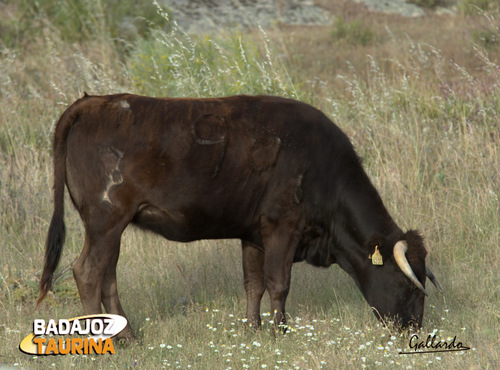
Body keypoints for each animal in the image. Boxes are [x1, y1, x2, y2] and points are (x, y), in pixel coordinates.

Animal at [38, 92, 442, 338]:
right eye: (408, 284)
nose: (415, 329)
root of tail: (94, 103)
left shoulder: (253, 234)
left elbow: (254, 284)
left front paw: (254, 329)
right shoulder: (282, 227)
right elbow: (278, 283)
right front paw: (281, 332)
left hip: (112, 229)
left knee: (107, 276)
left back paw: (129, 336)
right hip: (105, 221)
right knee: (88, 272)